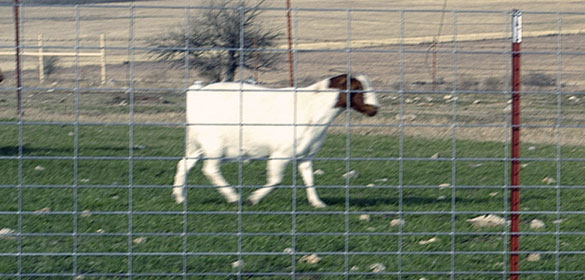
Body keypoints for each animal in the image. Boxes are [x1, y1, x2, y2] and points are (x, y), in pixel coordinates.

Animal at [171, 74, 378, 208]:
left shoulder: (306, 154)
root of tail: (197, 92)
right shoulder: (281, 153)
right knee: (210, 170)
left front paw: (318, 203)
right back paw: (233, 197)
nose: (375, 109)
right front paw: (253, 199)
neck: (312, 108)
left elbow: (309, 178)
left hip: (198, 145)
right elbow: (276, 180)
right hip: (214, 144)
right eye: (357, 88)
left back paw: (180, 197)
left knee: (184, 164)